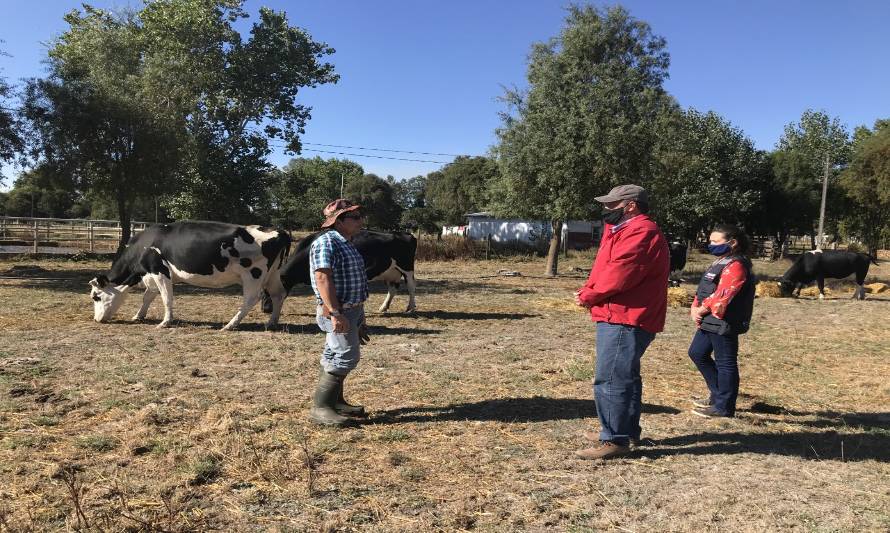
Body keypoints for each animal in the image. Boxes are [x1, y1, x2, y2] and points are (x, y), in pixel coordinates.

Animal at [86, 220, 290, 328]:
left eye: (96, 296)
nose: (96, 320)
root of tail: (278, 230)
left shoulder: (160, 271)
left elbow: (166, 298)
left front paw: (165, 322)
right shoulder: (151, 275)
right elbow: (147, 297)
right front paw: (139, 316)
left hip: (253, 275)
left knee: (251, 299)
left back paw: (230, 325)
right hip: (273, 275)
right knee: (279, 294)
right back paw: (272, 322)